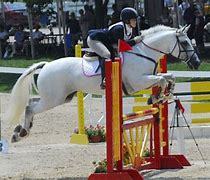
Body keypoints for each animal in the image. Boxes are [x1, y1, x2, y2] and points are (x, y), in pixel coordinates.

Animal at [6, 25, 200, 142]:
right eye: (184, 42)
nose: (197, 63)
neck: (144, 53)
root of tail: (46, 65)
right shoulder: (138, 82)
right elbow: (162, 79)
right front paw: (158, 96)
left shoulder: (148, 78)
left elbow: (169, 76)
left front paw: (159, 96)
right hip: (54, 99)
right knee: (30, 107)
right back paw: (20, 132)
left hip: (61, 97)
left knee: (31, 102)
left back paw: (21, 130)